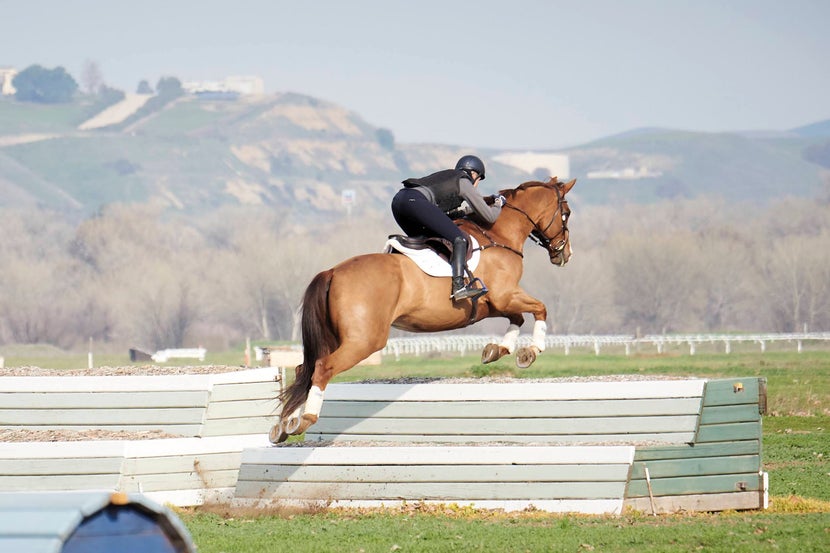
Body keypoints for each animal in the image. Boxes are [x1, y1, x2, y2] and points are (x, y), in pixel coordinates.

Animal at [272, 175, 580, 442]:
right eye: (566, 213)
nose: (565, 255)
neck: (498, 234)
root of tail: (332, 272)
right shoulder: (505, 295)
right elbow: (540, 309)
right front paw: (531, 352)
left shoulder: (491, 303)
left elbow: (517, 317)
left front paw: (497, 349)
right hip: (364, 340)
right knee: (322, 368)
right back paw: (306, 419)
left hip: (338, 336)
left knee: (303, 369)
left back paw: (285, 425)